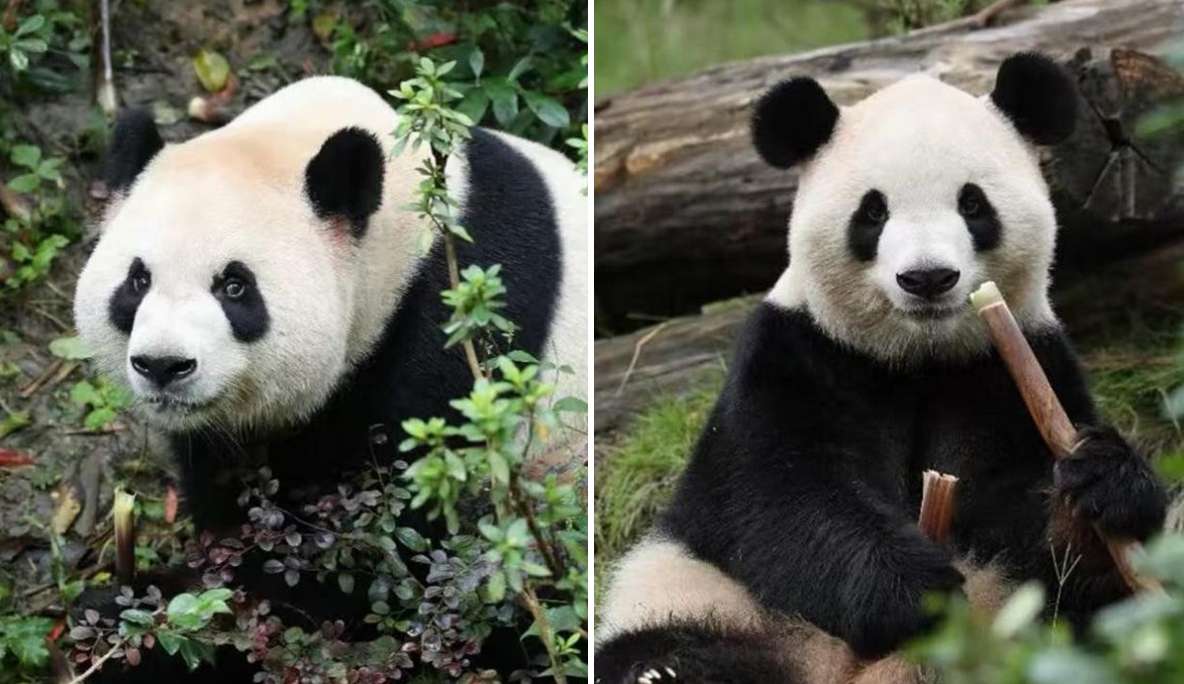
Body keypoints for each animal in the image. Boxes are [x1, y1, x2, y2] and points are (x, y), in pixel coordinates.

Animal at [72, 75, 587, 681]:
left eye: (235, 287)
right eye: (137, 281)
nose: (163, 365)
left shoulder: (453, 339)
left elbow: (377, 568)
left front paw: (153, 623)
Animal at [595, 53, 1167, 684]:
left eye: (973, 204)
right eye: (873, 211)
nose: (927, 278)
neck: (918, 359)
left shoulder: (1011, 368)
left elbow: (1034, 533)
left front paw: (1100, 488)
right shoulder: (797, 354)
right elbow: (779, 494)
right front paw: (911, 589)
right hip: (695, 592)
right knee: (661, 643)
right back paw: (667, 669)